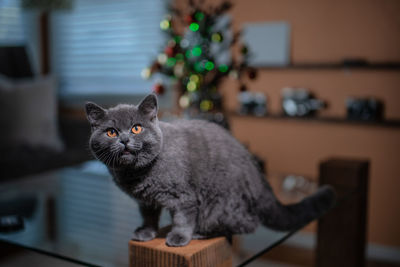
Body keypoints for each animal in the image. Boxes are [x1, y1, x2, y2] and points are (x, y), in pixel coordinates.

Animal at [86, 94, 336, 247]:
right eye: (111, 132)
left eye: (136, 128)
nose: (125, 140)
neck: (136, 174)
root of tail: (258, 176)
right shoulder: (145, 201)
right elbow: (148, 216)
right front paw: (146, 233)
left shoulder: (184, 196)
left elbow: (183, 218)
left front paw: (179, 237)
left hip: (220, 205)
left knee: (247, 224)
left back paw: (201, 233)